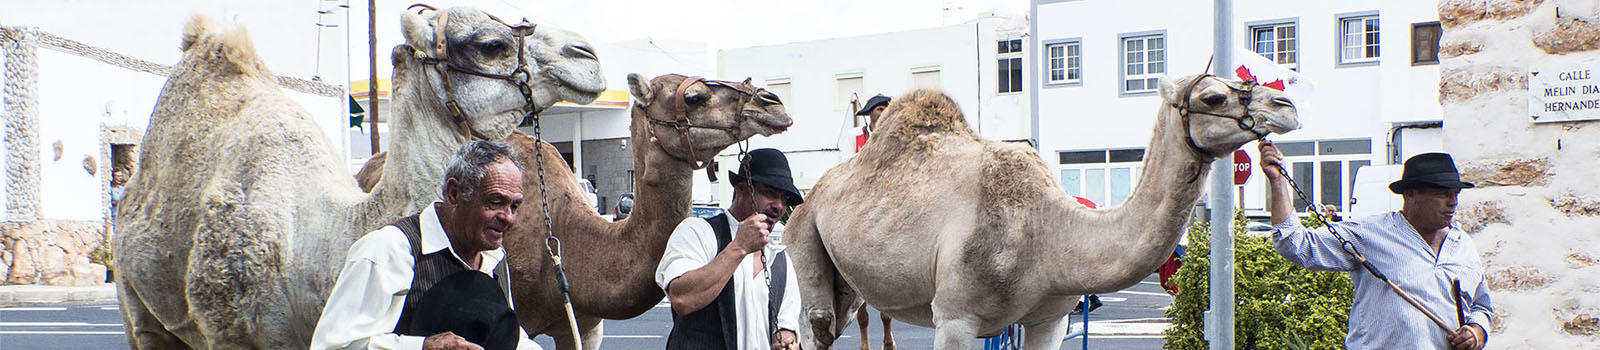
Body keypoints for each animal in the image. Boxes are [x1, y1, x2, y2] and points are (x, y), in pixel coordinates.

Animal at [784, 76, 1299, 350]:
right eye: (1213, 97)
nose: (1285, 104)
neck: (1051, 235)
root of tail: (814, 192)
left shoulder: (1049, 319)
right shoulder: (954, 317)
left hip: (848, 277)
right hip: (803, 234)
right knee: (817, 324)